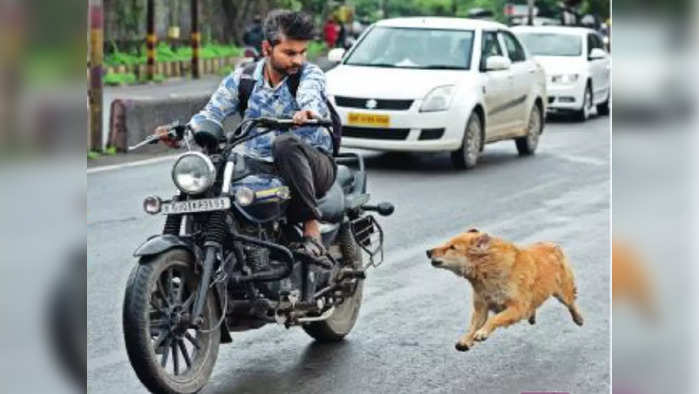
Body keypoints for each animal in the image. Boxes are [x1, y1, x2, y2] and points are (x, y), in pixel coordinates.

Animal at [426, 228, 584, 350]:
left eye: (452, 247)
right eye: (447, 243)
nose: (428, 251)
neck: (486, 270)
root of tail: (553, 245)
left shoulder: (516, 307)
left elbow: (495, 319)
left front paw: (482, 333)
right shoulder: (481, 307)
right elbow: (473, 325)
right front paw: (466, 340)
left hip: (563, 292)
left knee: (571, 303)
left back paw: (578, 319)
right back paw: (531, 315)